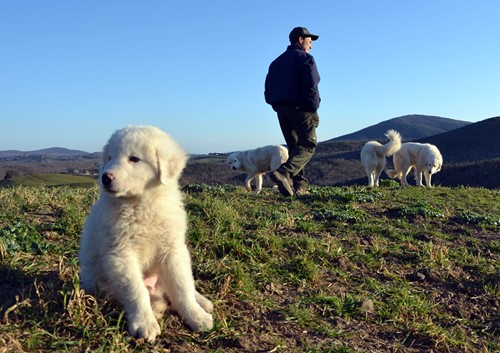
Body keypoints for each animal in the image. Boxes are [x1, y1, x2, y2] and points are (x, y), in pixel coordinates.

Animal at [78, 124, 213, 340]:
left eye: (134, 159)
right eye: (109, 157)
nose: (105, 177)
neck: (142, 204)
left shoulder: (172, 250)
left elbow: (182, 286)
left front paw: (196, 316)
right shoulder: (120, 254)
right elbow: (136, 291)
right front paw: (144, 323)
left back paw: (201, 302)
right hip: (101, 285)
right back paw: (156, 308)